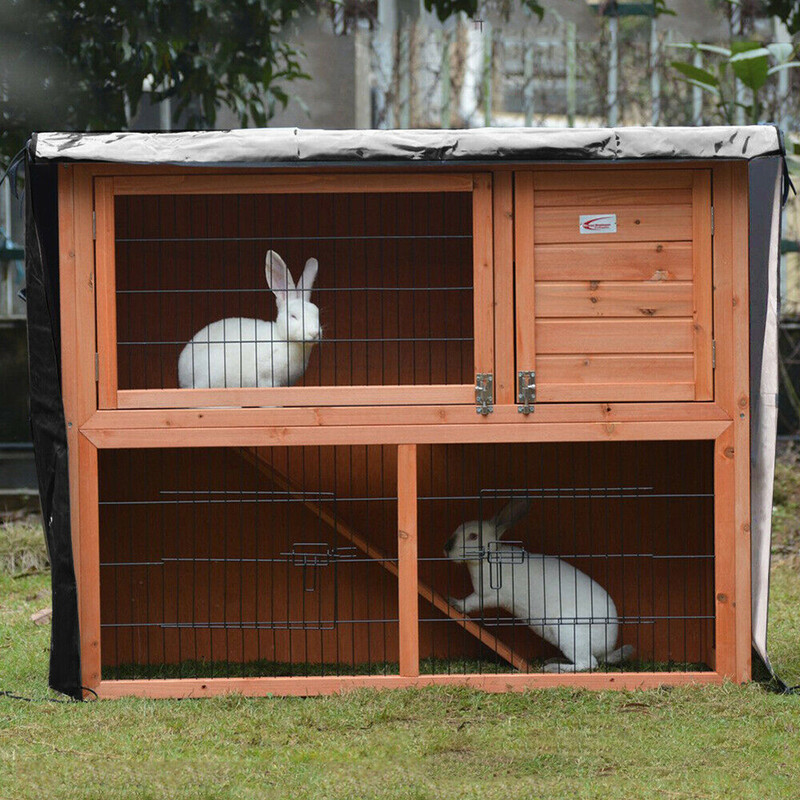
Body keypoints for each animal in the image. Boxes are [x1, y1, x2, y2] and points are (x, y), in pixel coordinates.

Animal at [178, 251, 321, 389]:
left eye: (317, 313)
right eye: (293, 316)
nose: (314, 333)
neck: (283, 339)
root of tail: (182, 374)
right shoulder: (267, 378)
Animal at [443, 498, 633, 673]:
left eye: (473, 536)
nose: (447, 547)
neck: (489, 558)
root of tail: (607, 648)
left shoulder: (489, 595)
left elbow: (471, 602)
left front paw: (453, 602)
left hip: (569, 633)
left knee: (588, 663)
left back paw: (553, 668)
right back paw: (553, 660)